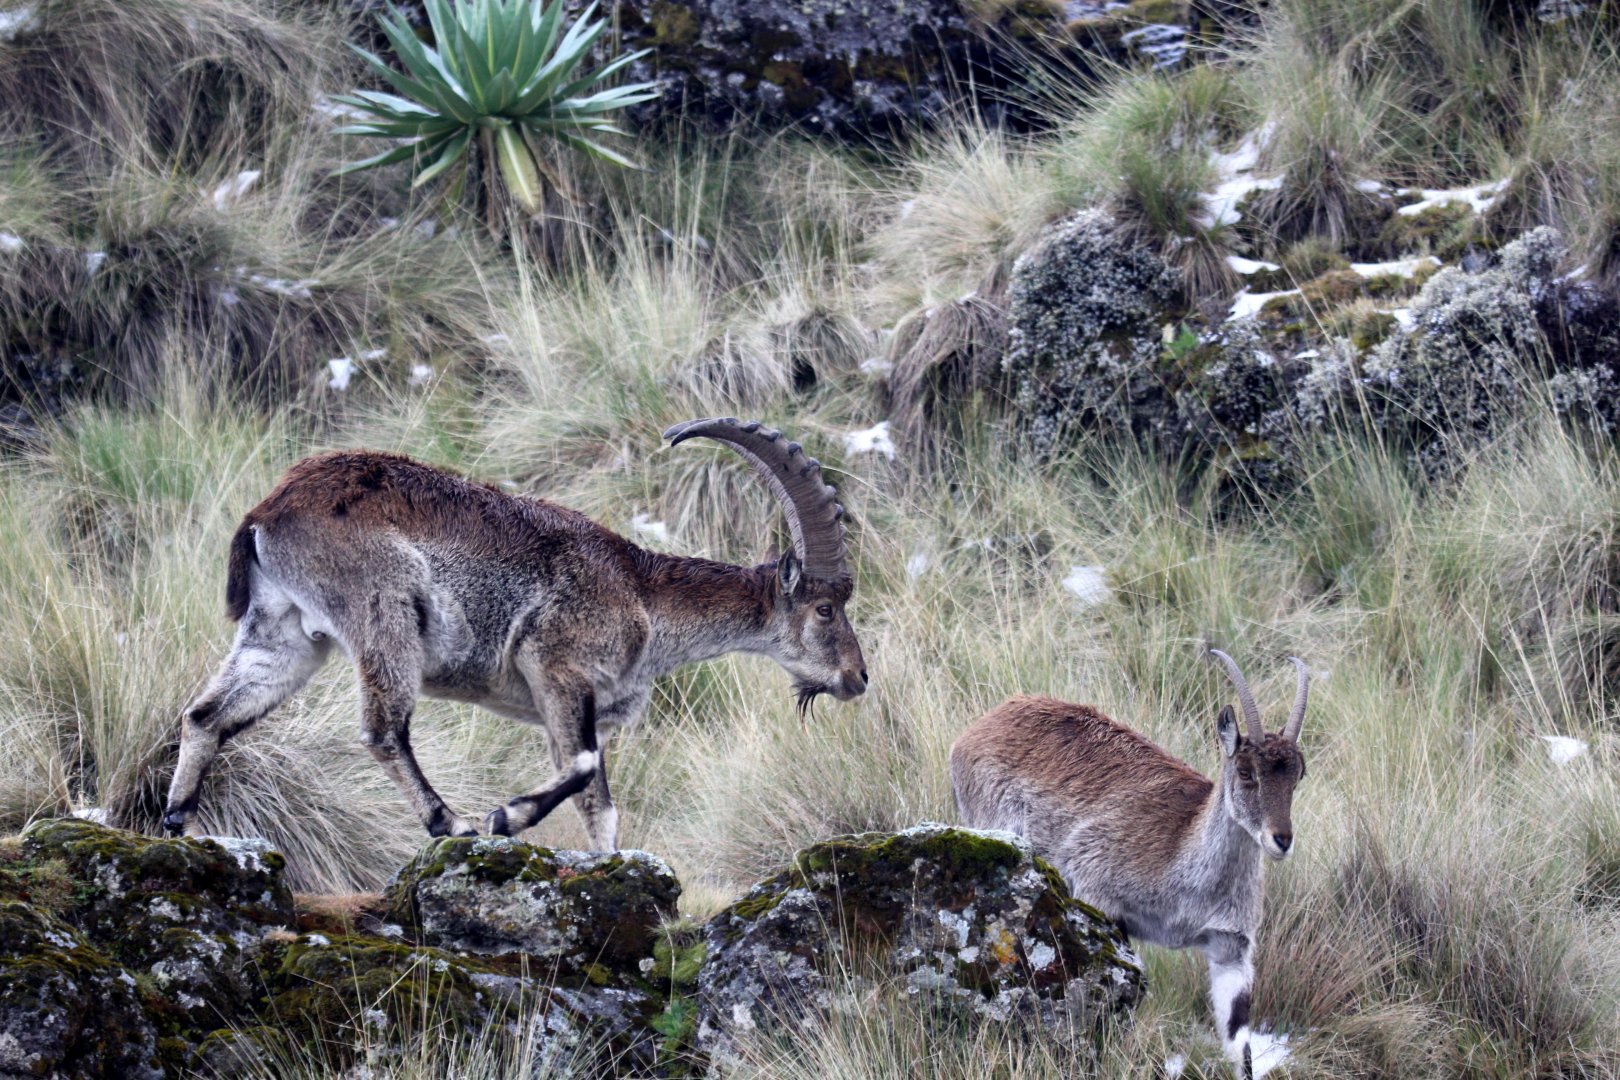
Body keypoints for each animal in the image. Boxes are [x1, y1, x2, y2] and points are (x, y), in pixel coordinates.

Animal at [162, 417, 868, 850]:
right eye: (825, 609)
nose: (858, 678)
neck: (643, 595)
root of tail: (268, 509)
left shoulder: (578, 707)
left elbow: (601, 806)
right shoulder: (556, 669)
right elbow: (583, 768)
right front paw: (506, 816)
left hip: (284, 631)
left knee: (205, 714)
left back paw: (176, 823)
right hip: (384, 614)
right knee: (384, 729)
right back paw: (452, 823)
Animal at [949, 650, 1309, 1078]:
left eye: (1299, 774)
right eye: (1245, 771)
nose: (1281, 839)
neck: (1185, 861)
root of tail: (980, 727)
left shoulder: (1230, 950)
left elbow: (1241, 1045)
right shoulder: (1101, 895)